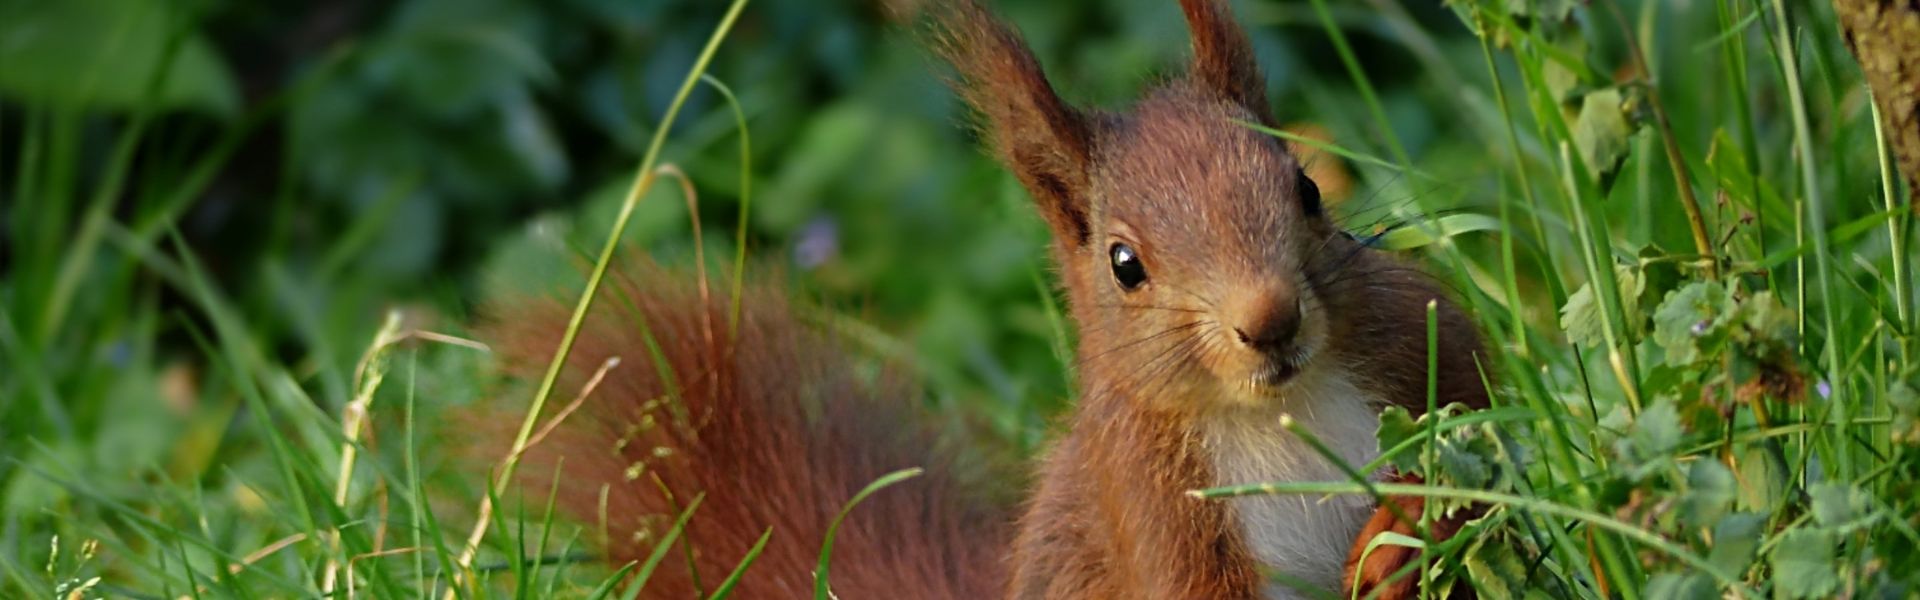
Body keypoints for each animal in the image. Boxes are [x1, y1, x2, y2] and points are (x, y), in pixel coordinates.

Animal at [487, 0, 1489, 596]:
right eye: (1124, 264)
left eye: (1307, 189)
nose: (1269, 321)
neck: (1274, 410)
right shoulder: (1150, 504)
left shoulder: (1417, 337)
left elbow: (1489, 433)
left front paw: (1409, 525)